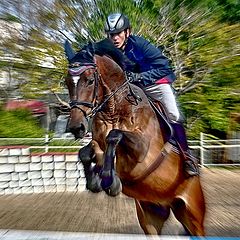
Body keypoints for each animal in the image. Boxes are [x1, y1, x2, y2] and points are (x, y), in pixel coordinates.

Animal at [63, 38, 206, 235]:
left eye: (90, 80)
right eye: (67, 82)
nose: (76, 127)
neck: (114, 109)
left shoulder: (143, 150)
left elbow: (114, 136)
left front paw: (109, 181)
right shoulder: (97, 141)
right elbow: (86, 152)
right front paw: (95, 181)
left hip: (193, 216)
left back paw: (190, 167)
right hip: (150, 215)